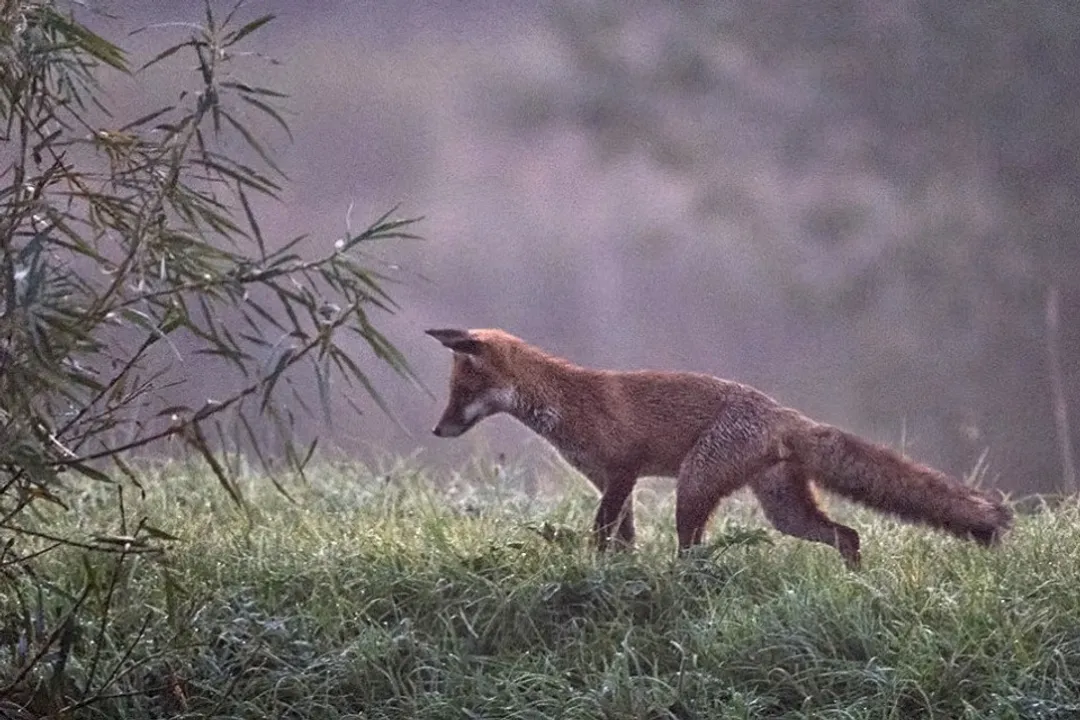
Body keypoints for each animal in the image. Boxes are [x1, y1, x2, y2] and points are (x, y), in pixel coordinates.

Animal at [426, 328, 1012, 567]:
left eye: (463, 393)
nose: (437, 431)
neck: (566, 403)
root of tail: (783, 413)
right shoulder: (611, 483)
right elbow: (621, 539)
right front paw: (615, 574)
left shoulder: (623, 470)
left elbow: (601, 532)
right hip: (783, 512)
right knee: (847, 534)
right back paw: (856, 584)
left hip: (694, 486)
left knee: (694, 550)